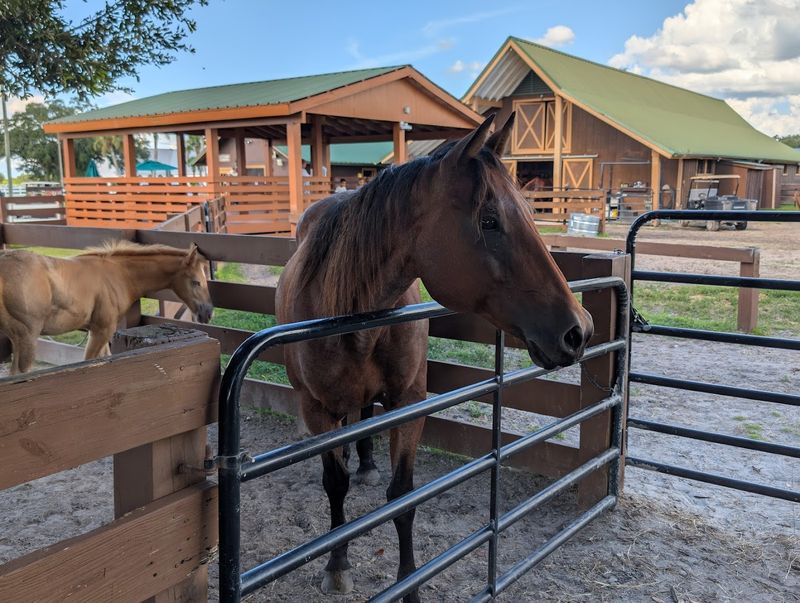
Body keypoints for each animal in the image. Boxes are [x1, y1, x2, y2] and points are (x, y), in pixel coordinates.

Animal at [0, 241, 213, 375]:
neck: (118, 274)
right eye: (196, 282)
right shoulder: (102, 329)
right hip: (27, 337)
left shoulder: (97, 330)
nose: (208, 312)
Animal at [275, 113, 593, 602]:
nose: (579, 330)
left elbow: (403, 497)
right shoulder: (316, 411)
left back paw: (367, 462)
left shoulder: (409, 402)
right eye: (489, 220)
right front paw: (337, 564)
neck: (348, 311)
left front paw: (409, 584)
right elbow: (335, 486)